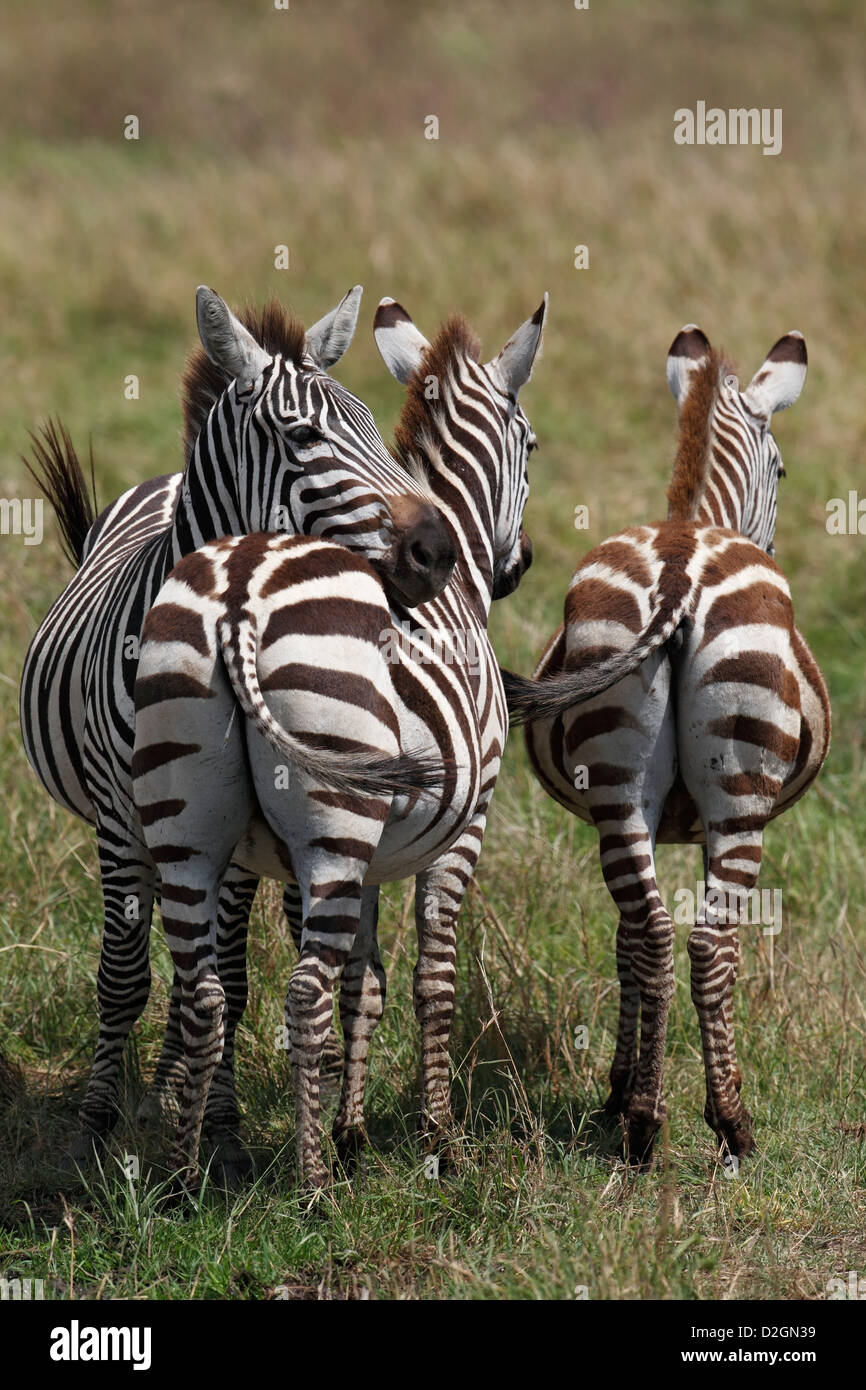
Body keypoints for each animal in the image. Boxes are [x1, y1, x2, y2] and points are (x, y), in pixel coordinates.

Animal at [505, 322, 828, 1162]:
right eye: (784, 468)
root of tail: (682, 566)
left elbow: (623, 943)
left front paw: (616, 1092)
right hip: (740, 797)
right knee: (711, 943)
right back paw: (732, 1122)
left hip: (617, 781)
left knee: (650, 935)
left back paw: (644, 1120)